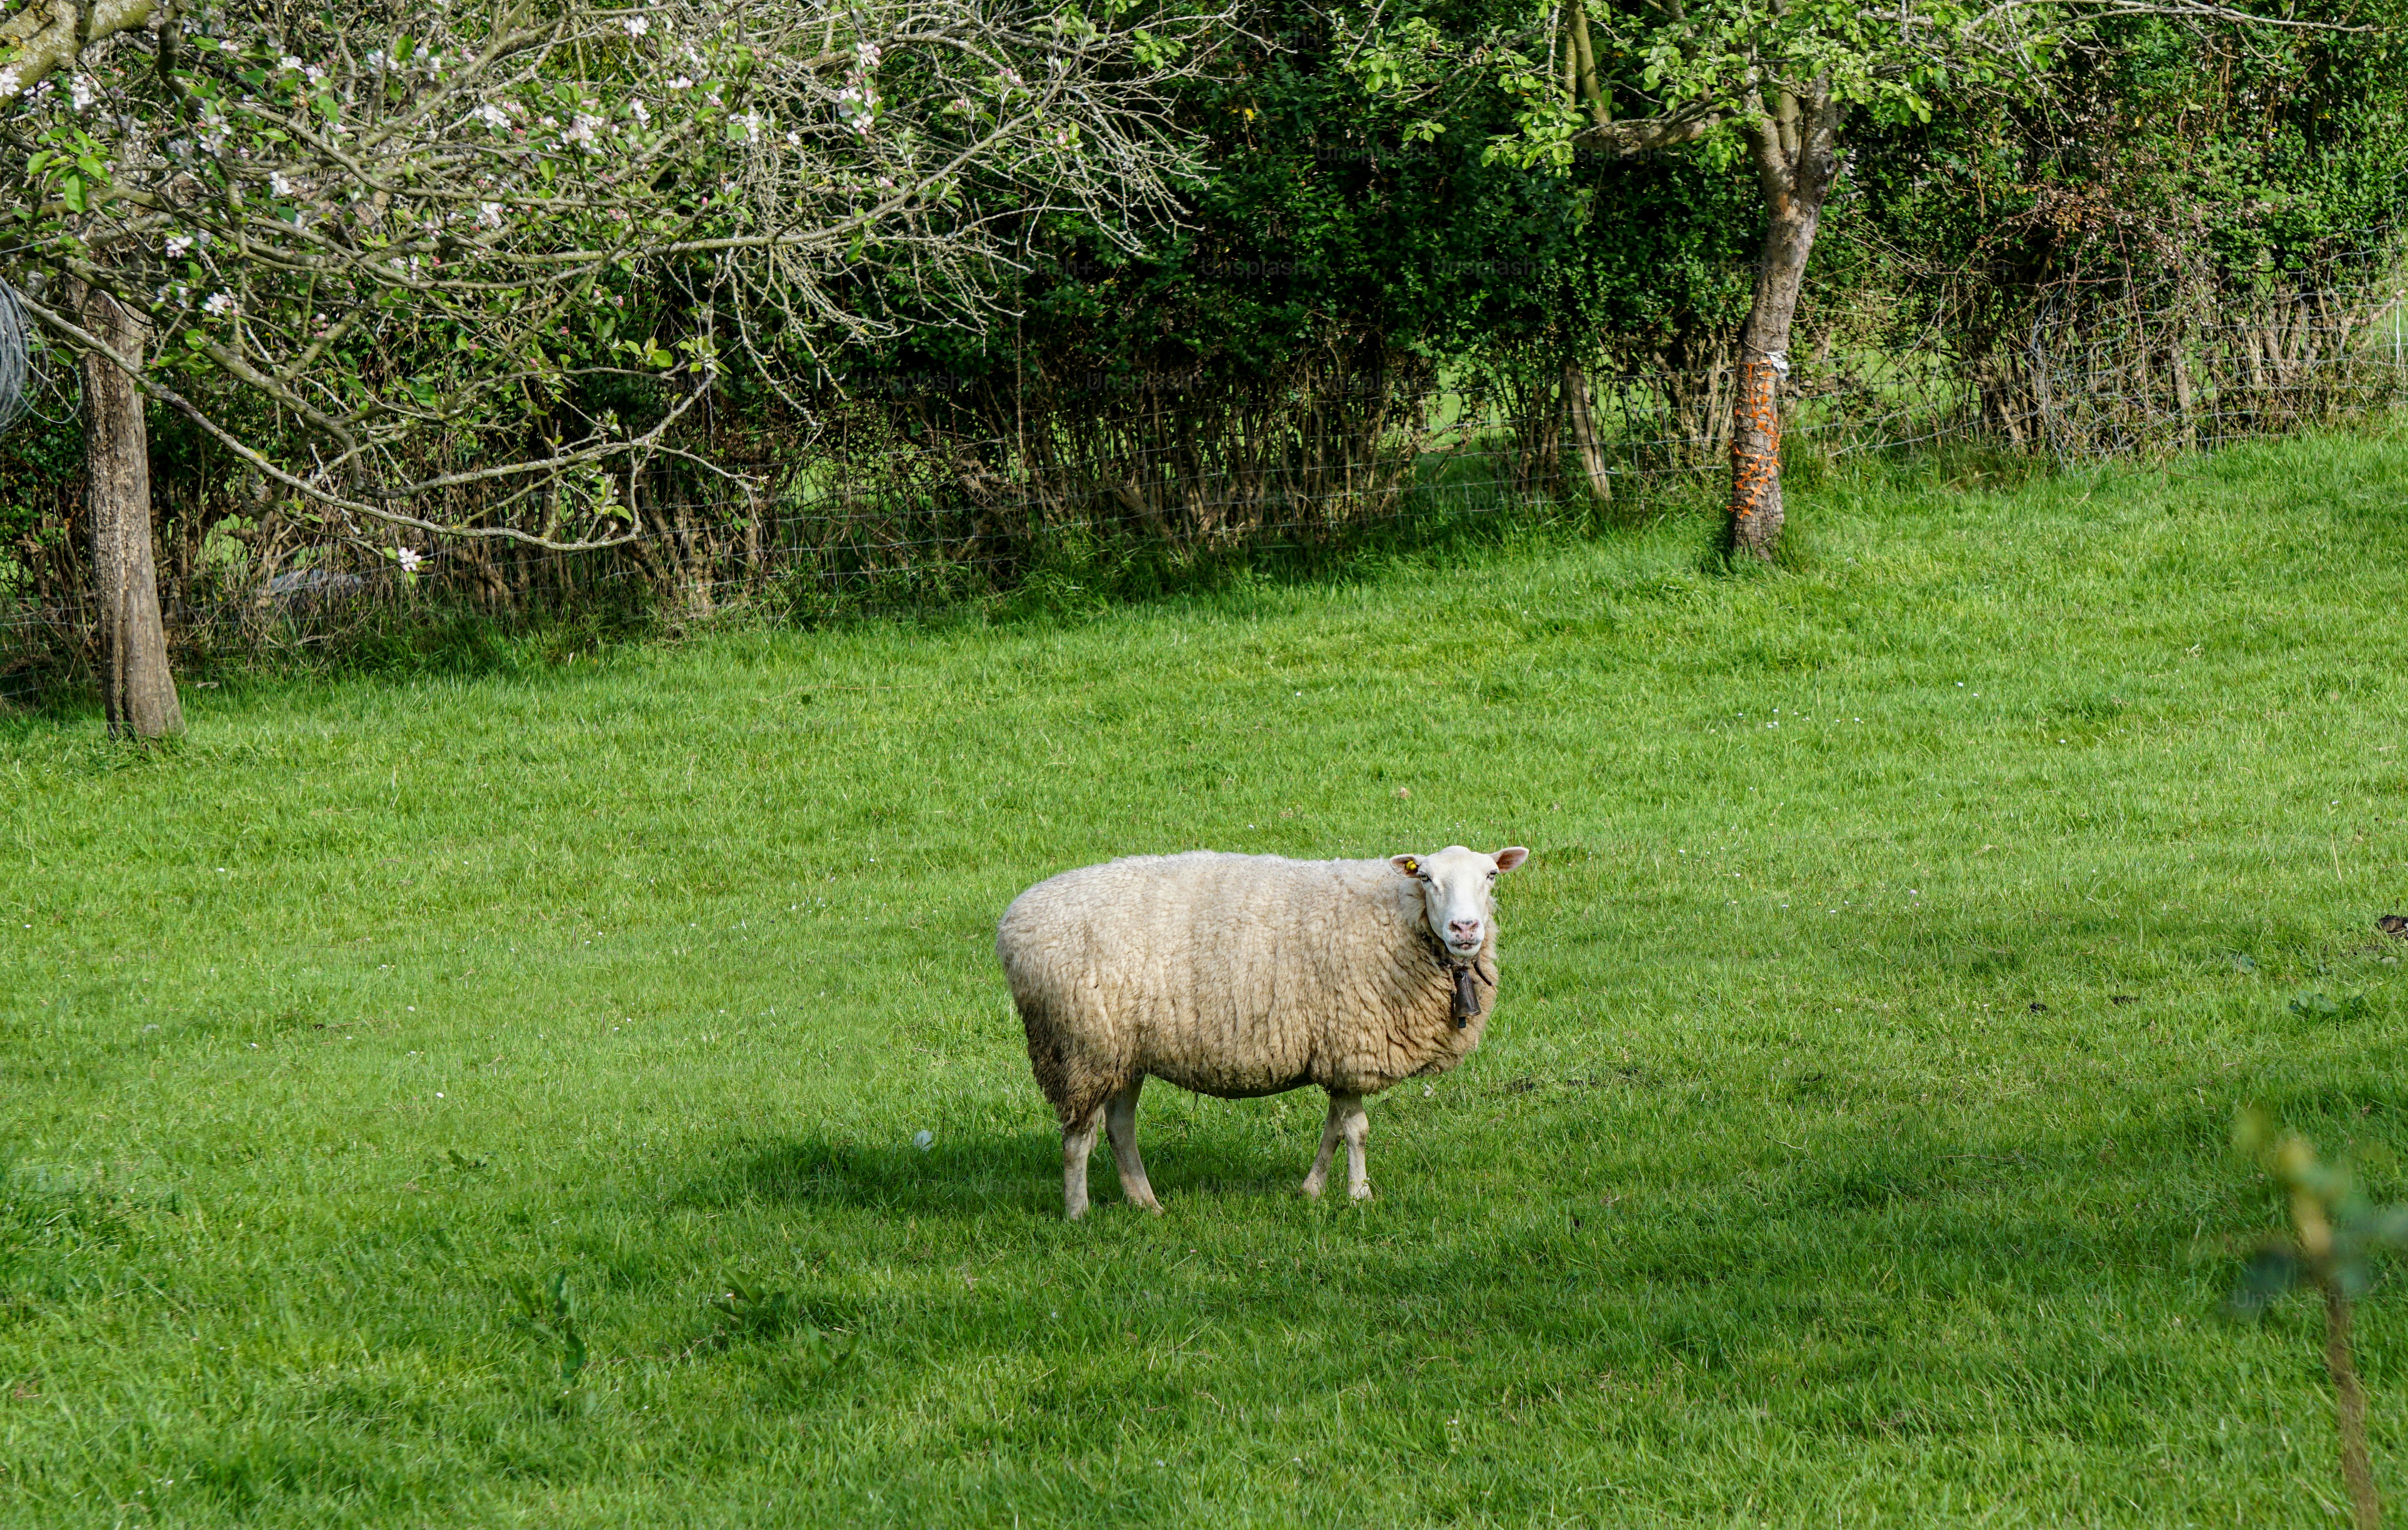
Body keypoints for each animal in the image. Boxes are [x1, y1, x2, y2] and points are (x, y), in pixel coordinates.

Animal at [995, 843, 1530, 1218]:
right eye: (1429, 879)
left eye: (1491, 875)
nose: (1465, 928)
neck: (1400, 919)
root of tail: (1012, 921)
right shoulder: (1352, 1045)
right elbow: (1357, 1130)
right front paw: (1359, 1195)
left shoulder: (1337, 1051)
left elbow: (1334, 1128)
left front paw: (1312, 1190)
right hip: (1079, 1046)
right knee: (1077, 1136)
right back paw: (1078, 1213)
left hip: (1124, 1052)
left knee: (1119, 1128)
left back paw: (1147, 1204)